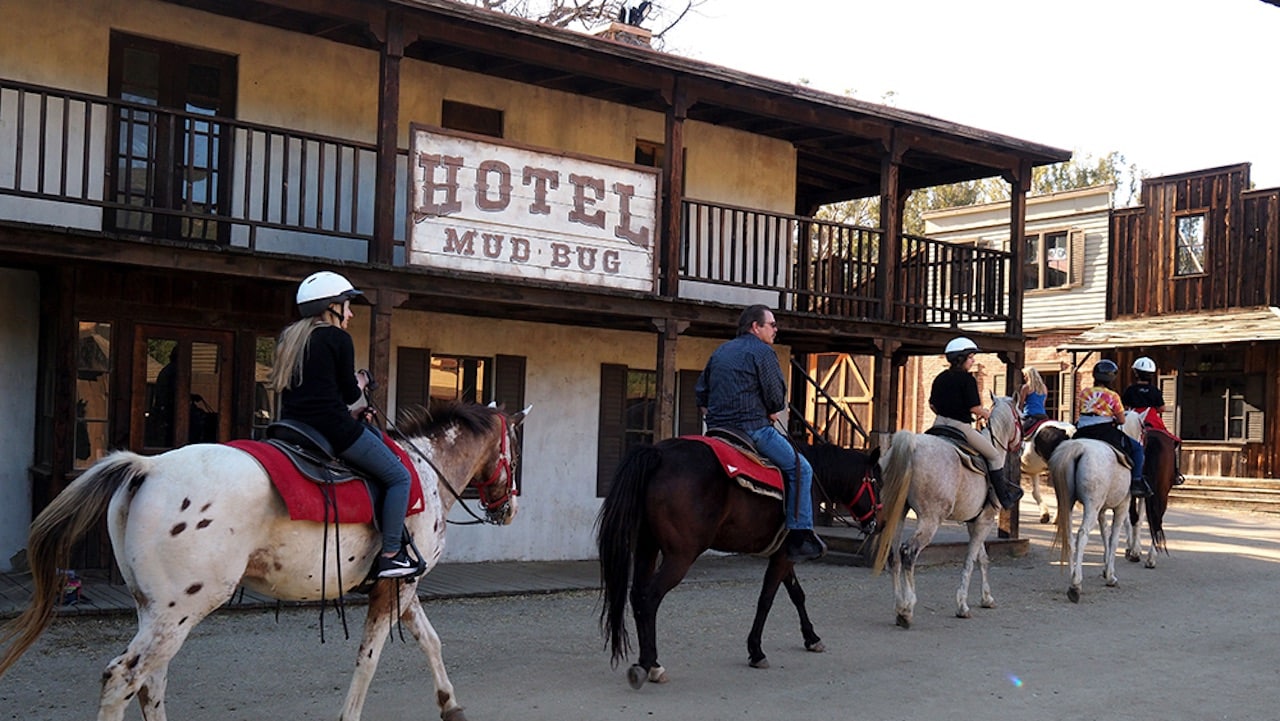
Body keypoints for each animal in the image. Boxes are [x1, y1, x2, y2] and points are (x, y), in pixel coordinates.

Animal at [0, 399, 524, 721]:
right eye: (516, 450)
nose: (508, 508)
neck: (424, 472)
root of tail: (148, 466)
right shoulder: (397, 586)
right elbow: (369, 659)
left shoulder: (398, 586)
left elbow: (430, 642)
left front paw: (450, 704)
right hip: (180, 611)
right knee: (123, 678)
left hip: (155, 611)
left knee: (150, 683)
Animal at [596, 440, 880, 686]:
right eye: (877, 481)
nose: (877, 523)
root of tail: (658, 454)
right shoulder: (783, 556)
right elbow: (766, 600)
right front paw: (756, 651)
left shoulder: (784, 554)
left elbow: (797, 594)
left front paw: (811, 638)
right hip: (679, 556)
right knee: (650, 597)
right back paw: (650, 664)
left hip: (647, 547)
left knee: (637, 595)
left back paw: (649, 662)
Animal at [870, 396, 1018, 630]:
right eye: (1021, 418)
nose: (1021, 447)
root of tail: (912, 446)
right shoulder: (984, 521)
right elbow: (970, 561)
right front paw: (962, 606)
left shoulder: (974, 523)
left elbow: (982, 558)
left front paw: (986, 598)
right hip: (930, 520)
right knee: (908, 553)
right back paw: (907, 609)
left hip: (897, 513)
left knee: (894, 555)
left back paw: (899, 606)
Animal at [1044, 412, 1146, 604]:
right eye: (1144, 428)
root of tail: (1078, 448)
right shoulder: (1122, 506)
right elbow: (1113, 538)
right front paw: (1110, 576)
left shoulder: (1102, 510)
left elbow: (1105, 534)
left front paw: (1106, 569)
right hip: (1091, 506)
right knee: (1082, 534)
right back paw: (1075, 585)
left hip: (1067, 502)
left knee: (1069, 536)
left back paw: (1073, 575)